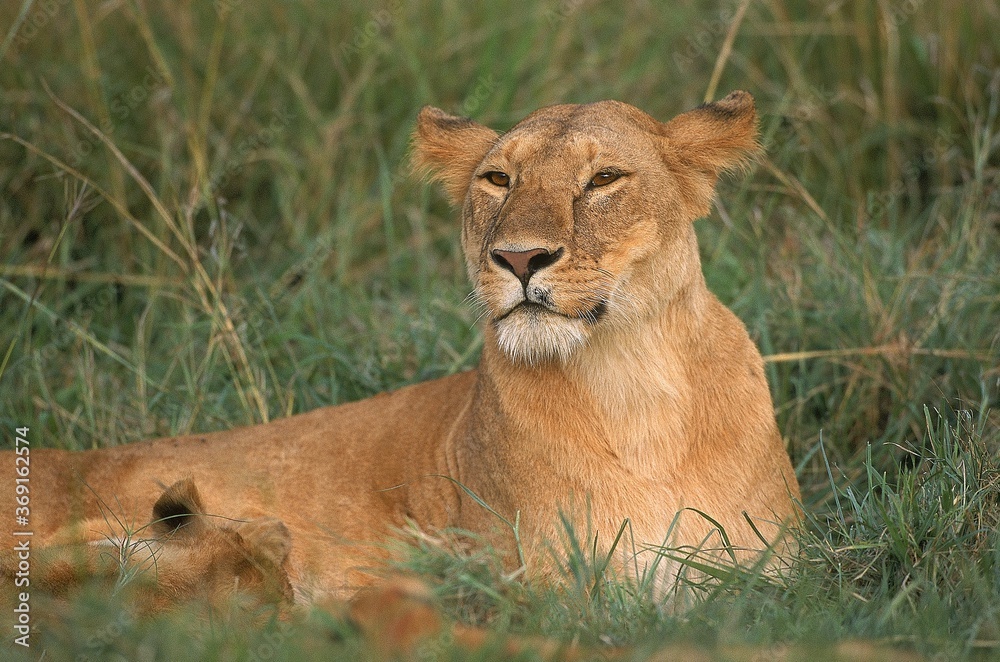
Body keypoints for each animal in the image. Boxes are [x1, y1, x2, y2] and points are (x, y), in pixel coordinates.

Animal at [2, 91, 799, 608]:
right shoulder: (544, 588)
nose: (518, 258)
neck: (632, 385)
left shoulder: (778, 577)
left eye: (603, 179)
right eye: (497, 178)